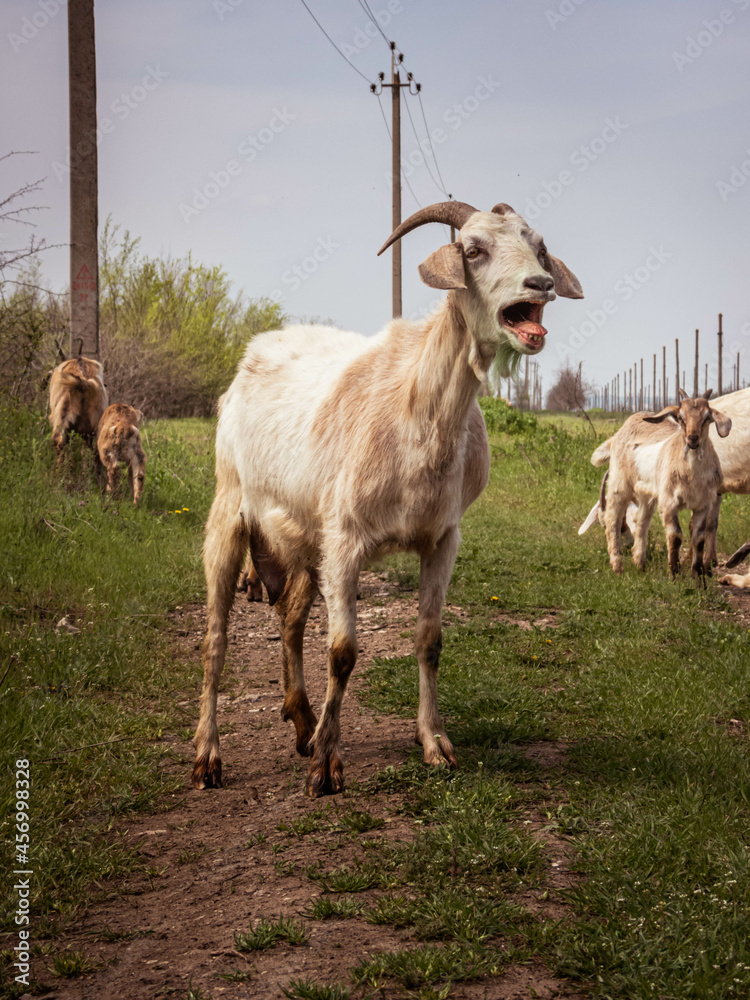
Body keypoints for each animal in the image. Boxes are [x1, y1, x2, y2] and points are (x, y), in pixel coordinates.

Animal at [191, 199, 583, 797]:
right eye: (473, 249)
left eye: (539, 248)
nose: (540, 284)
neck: (416, 412)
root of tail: (250, 357)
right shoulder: (346, 539)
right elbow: (343, 652)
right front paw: (327, 767)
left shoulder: (442, 537)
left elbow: (429, 639)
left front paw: (434, 743)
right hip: (231, 509)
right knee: (216, 637)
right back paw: (209, 756)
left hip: (305, 535)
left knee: (289, 618)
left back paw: (301, 719)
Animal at [583, 385, 750, 568]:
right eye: (681, 418)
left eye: (707, 418)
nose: (627, 547)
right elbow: (704, 526)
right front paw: (705, 562)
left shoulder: (706, 495)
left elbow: (699, 529)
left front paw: (698, 563)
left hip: (624, 486)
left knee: (619, 514)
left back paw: (621, 563)